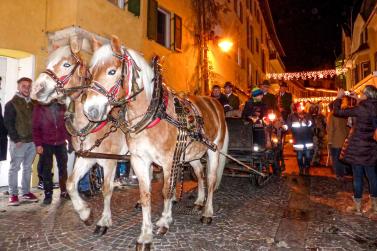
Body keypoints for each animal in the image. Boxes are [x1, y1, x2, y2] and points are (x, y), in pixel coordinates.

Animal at [30, 37, 126, 235]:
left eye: (66, 64)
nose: (36, 89)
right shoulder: (86, 157)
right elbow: (70, 183)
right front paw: (85, 213)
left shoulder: (110, 161)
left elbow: (107, 189)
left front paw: (104, 221)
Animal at [82, 35, 228, 249]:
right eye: (90, 73)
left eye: (112, 71)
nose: (90, 110)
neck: (152, 114)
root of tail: (214, 103)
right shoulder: (140, 160)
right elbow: (145, 196)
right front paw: (145, 235)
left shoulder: (168, 161)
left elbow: (167, 191)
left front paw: (164, 221)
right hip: (192, 154)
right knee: (200, 175)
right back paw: (199, 201)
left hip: (213, 150)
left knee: (210, 179)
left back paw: (207, 211)